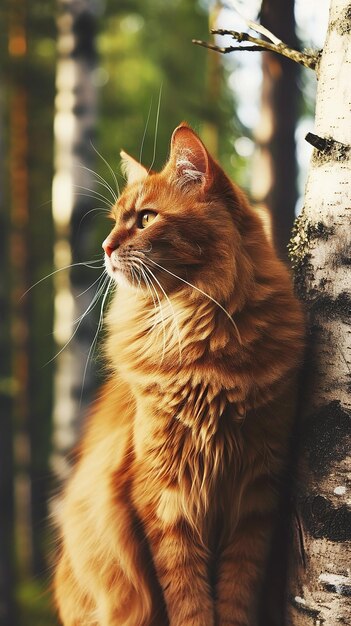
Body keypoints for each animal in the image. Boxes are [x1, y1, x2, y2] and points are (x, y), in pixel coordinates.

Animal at [53, 123, 306, 624]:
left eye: (146, 219)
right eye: (115, 221)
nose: (107, 248)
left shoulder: (256, 495)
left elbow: (236, 592)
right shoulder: (163, 498)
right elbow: (187, 598)